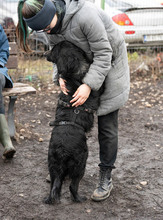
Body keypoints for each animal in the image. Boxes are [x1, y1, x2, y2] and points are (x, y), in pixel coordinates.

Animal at [44, 40, 100, 204]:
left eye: (53, 50)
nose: (44, 53)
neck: (74, 73)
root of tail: (62, 150)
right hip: (80, 165)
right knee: (72, 187)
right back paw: (80, 199)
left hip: (53, 166)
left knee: (54, 187)